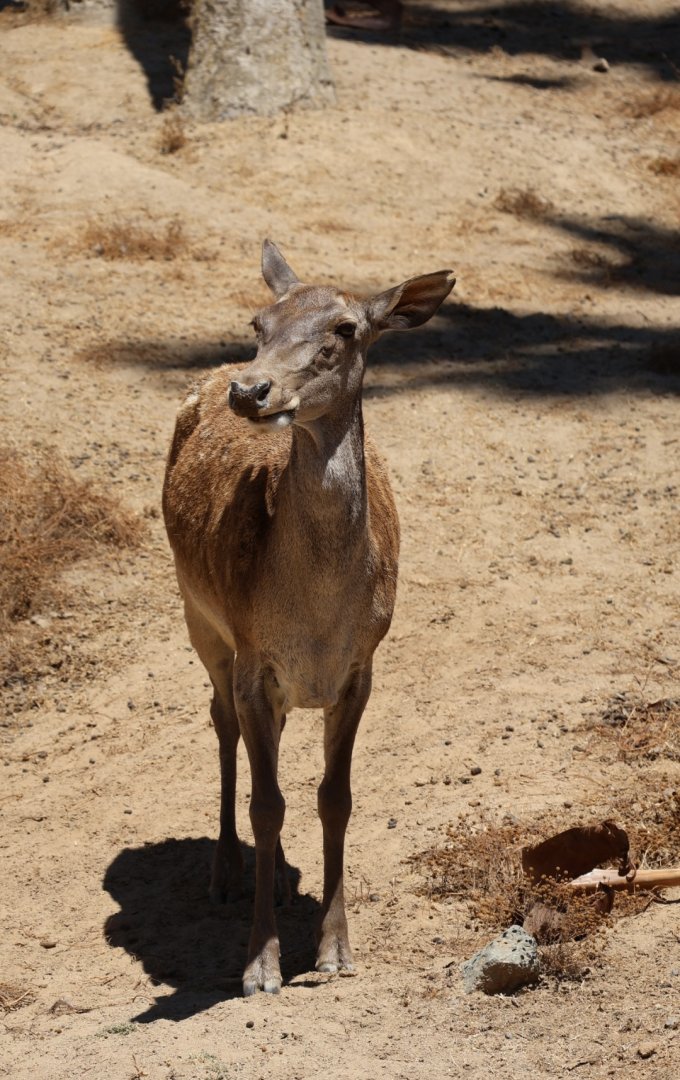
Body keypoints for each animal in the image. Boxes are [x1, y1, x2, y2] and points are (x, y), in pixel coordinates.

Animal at [162, 241, 455, 996]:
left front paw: (334, 950)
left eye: (346, 328)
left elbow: (335, 798)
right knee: (220, 722)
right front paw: (260, 966)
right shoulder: (254, 656)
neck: (317, 619)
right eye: (258, 322)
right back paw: (226, 872)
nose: (250, 391)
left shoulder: (360, 667)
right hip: (198, 614)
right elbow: (267, 804)